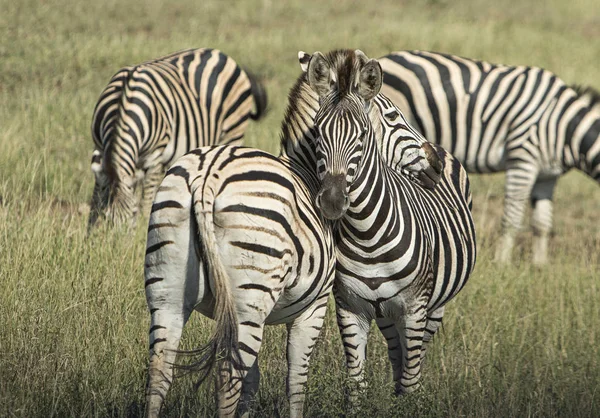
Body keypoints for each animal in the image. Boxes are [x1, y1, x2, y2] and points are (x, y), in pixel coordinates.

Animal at [88, 49, 268, 232]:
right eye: (106, 220)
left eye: (128, 224)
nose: (114, 241)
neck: (122, 107)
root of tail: (222, 55)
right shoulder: (99, 150)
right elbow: (96, 201)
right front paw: (90, 232)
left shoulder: (155, 157)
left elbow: (146, 202)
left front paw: (144, 227)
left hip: (233, 131)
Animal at [145, 49, 446, 418]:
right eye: (394, 115)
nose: (437, 162)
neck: (309, 169)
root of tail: (208, 175)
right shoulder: (313, 308)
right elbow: (296, 381)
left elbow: (253, 382)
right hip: (250, 297)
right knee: (227, 377)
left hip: (167, 288)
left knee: (160, 371)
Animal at [302, 51, 476, 398]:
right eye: (318, 133)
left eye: (362, 135)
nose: (332, 201)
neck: (368, 235)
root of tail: (440, 147)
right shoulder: (350, 308)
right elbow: (356, 384)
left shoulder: (415, 308)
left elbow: (412, 381)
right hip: (385, 313)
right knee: (398, 355)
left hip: (434, 308)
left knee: (414, 359)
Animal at [380, 49, 600, 264]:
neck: (564, 126)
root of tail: (387, 58)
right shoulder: (523, 159)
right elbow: (512, 218)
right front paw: (502, 263)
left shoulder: (548, 175)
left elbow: (542, 223)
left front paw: (540, 265)